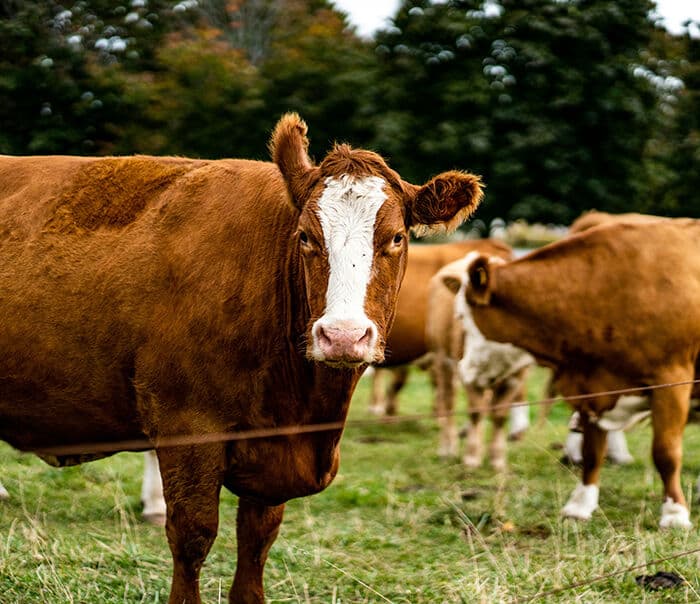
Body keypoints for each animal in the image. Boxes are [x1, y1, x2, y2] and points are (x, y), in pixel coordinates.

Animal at [0, 113, 483, 603]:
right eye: (305, 237)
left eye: (397, 237)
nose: (343, 335)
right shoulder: (187, 429)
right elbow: (192, 538)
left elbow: (256, 542)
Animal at [427, 253, 534, 468]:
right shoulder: (467, 372)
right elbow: (476, 411)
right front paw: (471, 458)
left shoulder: (517, 376)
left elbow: (500, 415)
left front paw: (497, 460)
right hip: (442, 359)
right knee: (447, 400)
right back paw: (447, 448)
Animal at [462, 219, 700, 529]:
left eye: (464, 318)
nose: (464, 370)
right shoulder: (593, 386)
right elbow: (591, 452)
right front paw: (580, 505)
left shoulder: (672, 380)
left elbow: (666, 453)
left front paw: (674, 513)